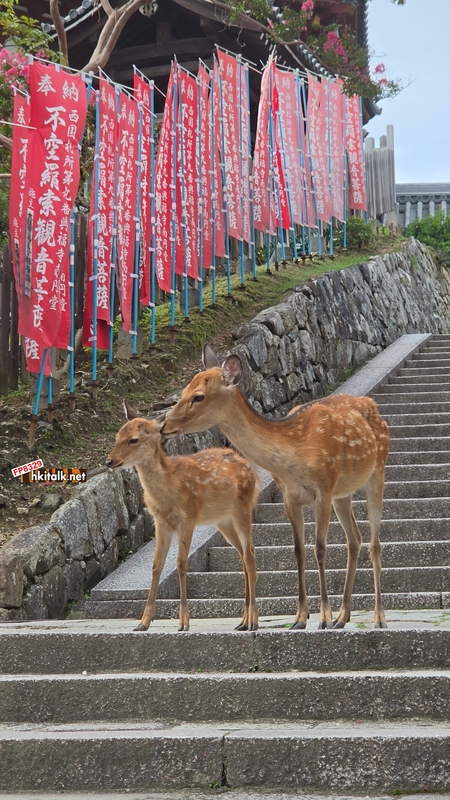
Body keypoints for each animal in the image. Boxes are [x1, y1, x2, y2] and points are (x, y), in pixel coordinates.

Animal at [105, 401, 260, 632]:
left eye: (133, 439)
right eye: (117, 436)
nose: (109, 461)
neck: (170, 489)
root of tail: (252, 469)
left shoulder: (188, 518)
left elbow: (181, 563)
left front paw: (184, 622)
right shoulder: (161, 523)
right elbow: (156, 566)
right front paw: (143, 622)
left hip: (243, 507)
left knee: (250, 554)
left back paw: (253, 621)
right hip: (223, 520)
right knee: (242, 554)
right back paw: (242, 621)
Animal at [162, 344, 390, 631]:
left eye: (199, 396)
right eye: (183, 391)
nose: (164, 425)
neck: (293, 456)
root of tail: (375, 408)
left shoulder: (323, 487)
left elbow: (320, 549)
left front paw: (323, 617)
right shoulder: (290, 497)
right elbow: (298, 550)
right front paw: (300, 618)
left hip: (377, 472)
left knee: (374, 543)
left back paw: (378, 618)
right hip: (343, 493)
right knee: (355, 540)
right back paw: (343, 616)